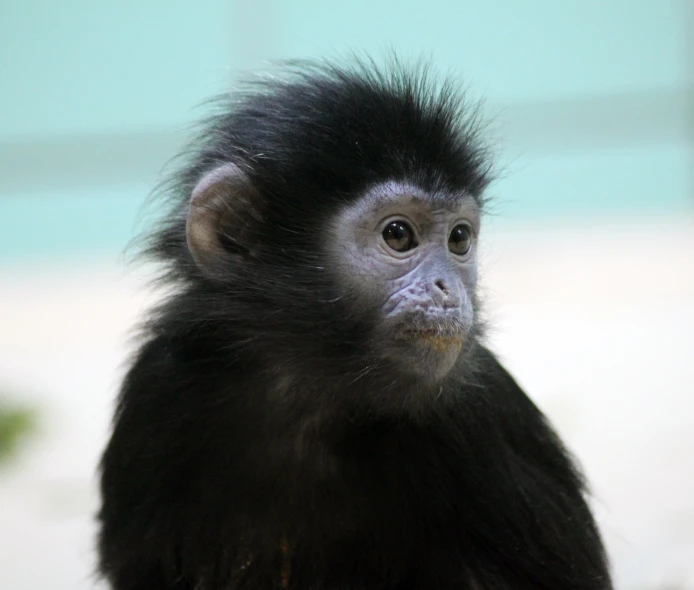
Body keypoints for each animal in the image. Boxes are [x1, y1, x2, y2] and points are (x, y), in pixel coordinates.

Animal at [98, 56, 616, 590]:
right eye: (398, 234)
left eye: (459, 239)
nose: (447, 289)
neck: (307, 398)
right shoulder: (158, 385)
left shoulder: (481, 413)